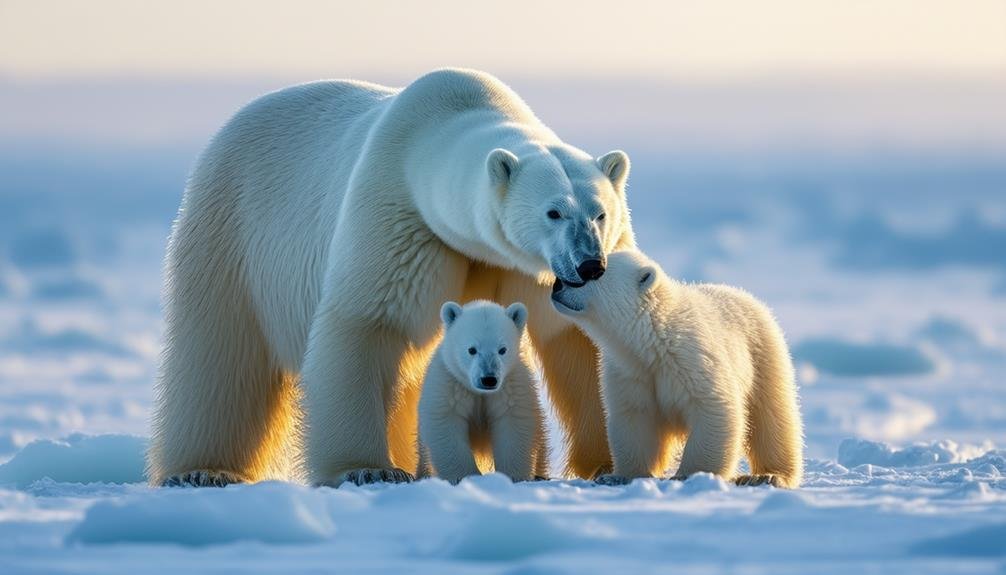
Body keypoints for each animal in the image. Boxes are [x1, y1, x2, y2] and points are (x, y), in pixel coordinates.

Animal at [414, 299, 547, 482]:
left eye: (502, 349)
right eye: (472, 349)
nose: (489, 379)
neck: (480, 392)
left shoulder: (510, 387)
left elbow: (513, 426)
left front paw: (511, 477)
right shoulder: (450, 383)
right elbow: (446, 426)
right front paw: (466, 477)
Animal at [547, 249, 804, 486]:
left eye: (594, 272)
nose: (557, 284)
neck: (654, 340)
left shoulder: (692, 360)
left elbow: (714, 408)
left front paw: (689, 475)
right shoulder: (630, 371)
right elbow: (633, 418)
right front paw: (617, 476)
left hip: (763, 355)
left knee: (772, 417)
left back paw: (767, 475)